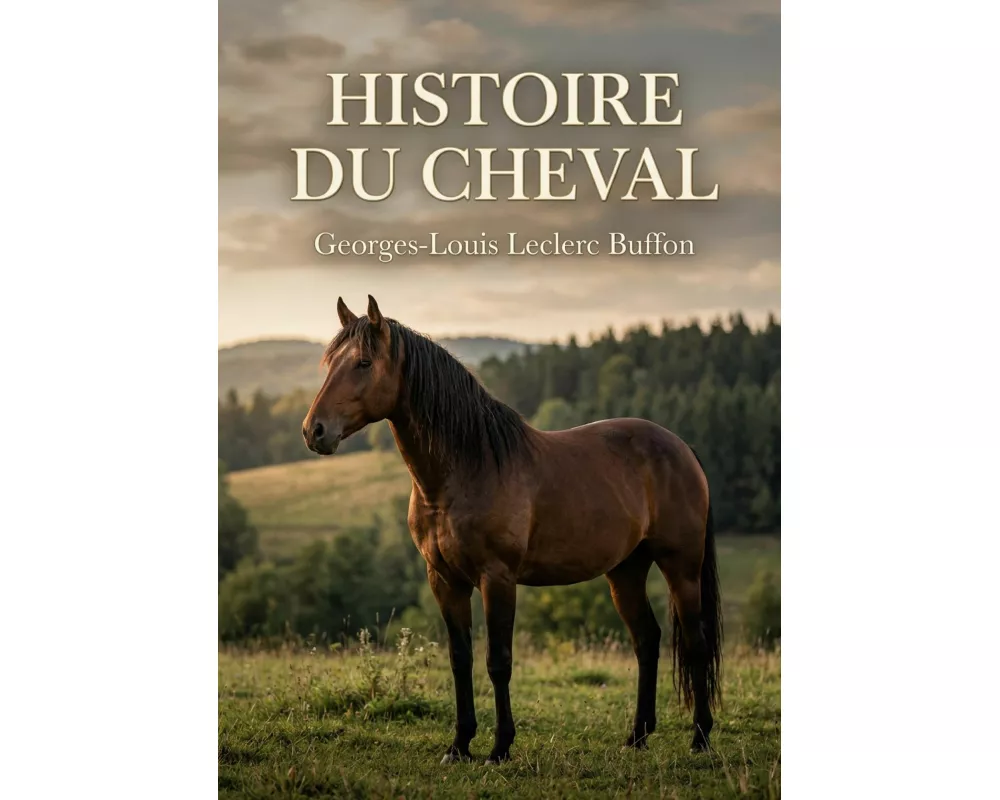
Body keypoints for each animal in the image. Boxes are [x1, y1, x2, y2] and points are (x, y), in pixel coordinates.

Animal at [302, 295, 722, 764]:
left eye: (363, 362)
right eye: (329, 363)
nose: (314, 430)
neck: (466, 469)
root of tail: (681, 448)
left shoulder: (497, 578)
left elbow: (497, 661)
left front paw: (500, 747)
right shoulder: (444, 580)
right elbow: (460, 659)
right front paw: (459, 745)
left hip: (681, 567)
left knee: (696, 641)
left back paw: (700, 738)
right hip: (626, 571)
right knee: (647, 640)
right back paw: (637, 736)